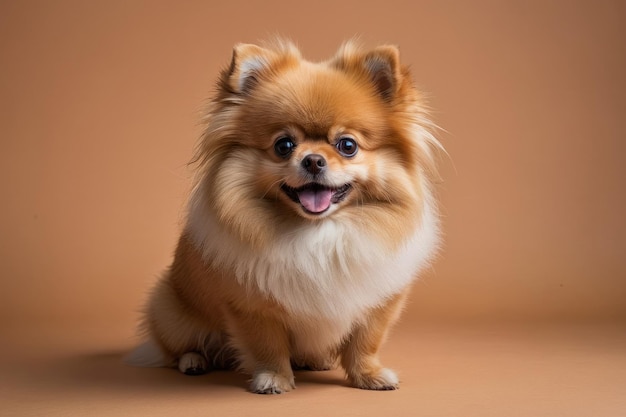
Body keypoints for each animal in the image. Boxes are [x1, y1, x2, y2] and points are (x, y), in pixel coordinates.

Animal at [125, 39, 438, 394]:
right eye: (284, 145)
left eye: (347, 146)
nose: (313, 160)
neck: (317, 232)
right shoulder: (252, 306)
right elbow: (268, 345)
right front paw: (273, 378)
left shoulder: (379, 303)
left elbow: (365, 343)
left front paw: (369, 376)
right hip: (170, 311)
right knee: (177, 348)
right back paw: (194, 362)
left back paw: (314, 360)